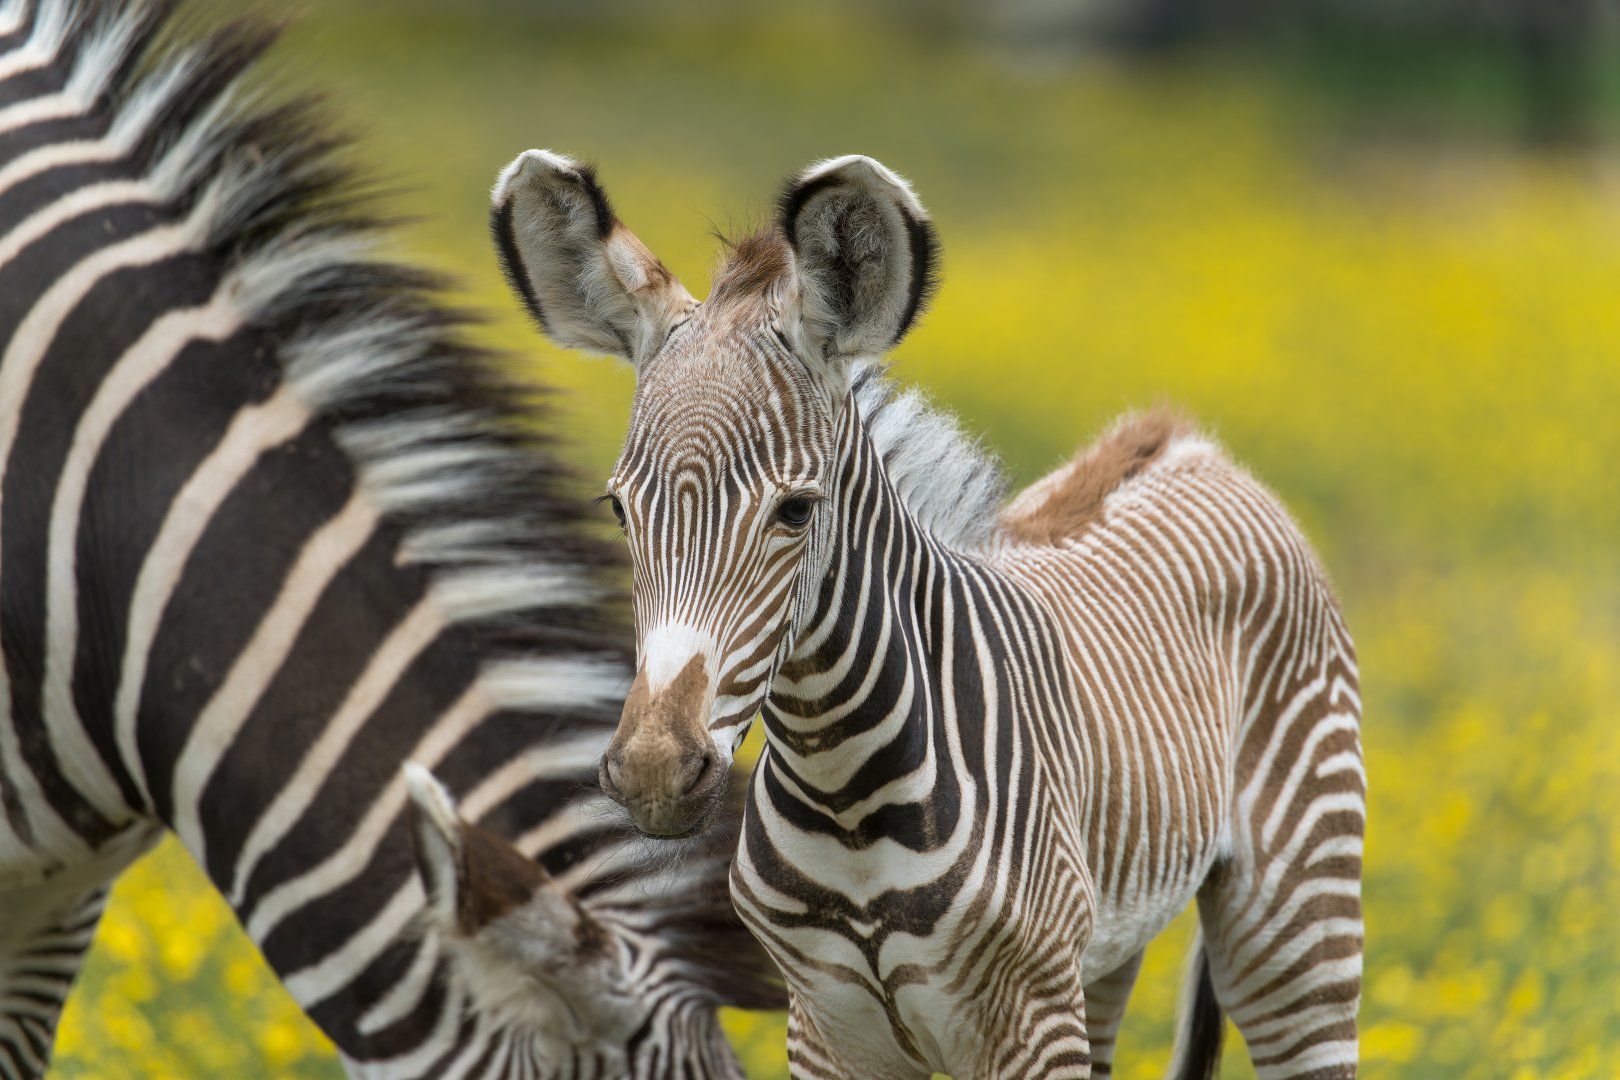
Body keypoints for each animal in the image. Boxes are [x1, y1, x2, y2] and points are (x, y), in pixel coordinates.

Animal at [492, 149, 1365, 1078]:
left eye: (795, 512)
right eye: (620, 511)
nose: (655, 771)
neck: (848, 798)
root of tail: (1187, 444)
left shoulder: (1027, 1024)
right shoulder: (827, 1028)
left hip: (1297, 921)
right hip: (1106, 955)